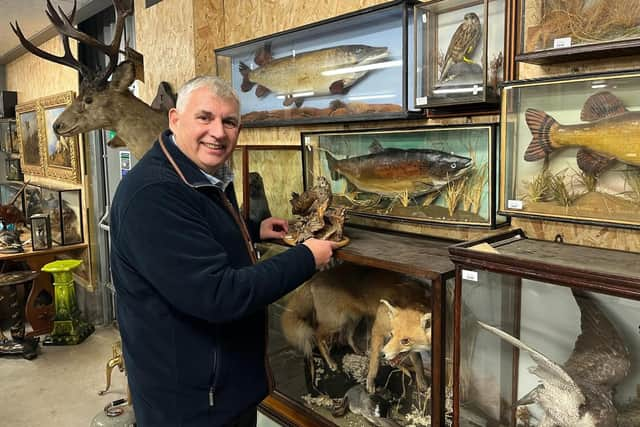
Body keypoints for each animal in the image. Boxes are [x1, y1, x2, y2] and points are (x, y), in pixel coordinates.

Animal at [282, 264, 432, 394]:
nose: (384, 354)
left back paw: (357, 351)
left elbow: (417, 361)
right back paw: (330, 361)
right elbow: (374, 363)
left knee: (347, 337)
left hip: (353, 318)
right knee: (317, 335)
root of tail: (314, 278)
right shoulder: (377, 330)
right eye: (391, 333)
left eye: (405, 341)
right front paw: (370, 382)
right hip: (335, 322)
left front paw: (422, 382)